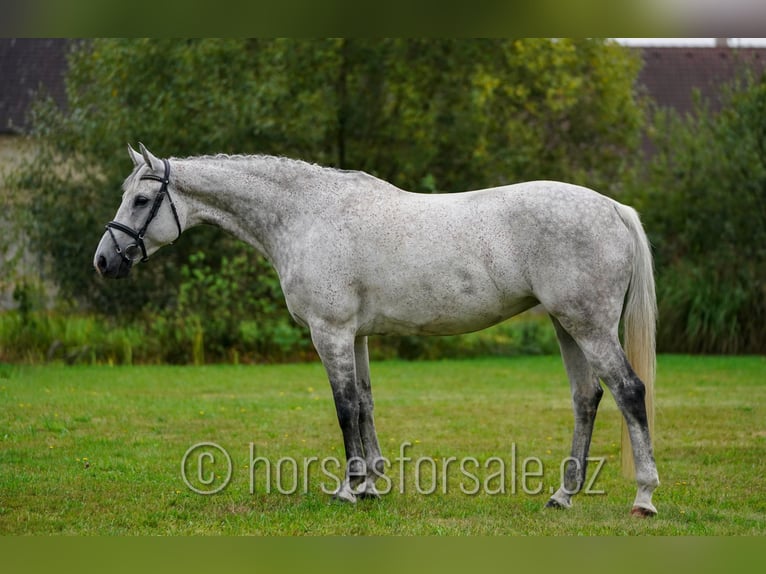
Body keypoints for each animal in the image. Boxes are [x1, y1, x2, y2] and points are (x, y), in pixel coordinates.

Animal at [94, 143, 659, 516]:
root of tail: (612, 207)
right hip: (567, 325)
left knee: (629, 391)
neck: (306, 216)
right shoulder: (357, 335)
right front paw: (372, 484)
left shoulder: (331, 333)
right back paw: (563, 495)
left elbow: (344, 407)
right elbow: (365, 402)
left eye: (140, 201)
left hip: (588, 325)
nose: (104, 260)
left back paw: (644, 497)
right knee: (587, 398)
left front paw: (349, 488)